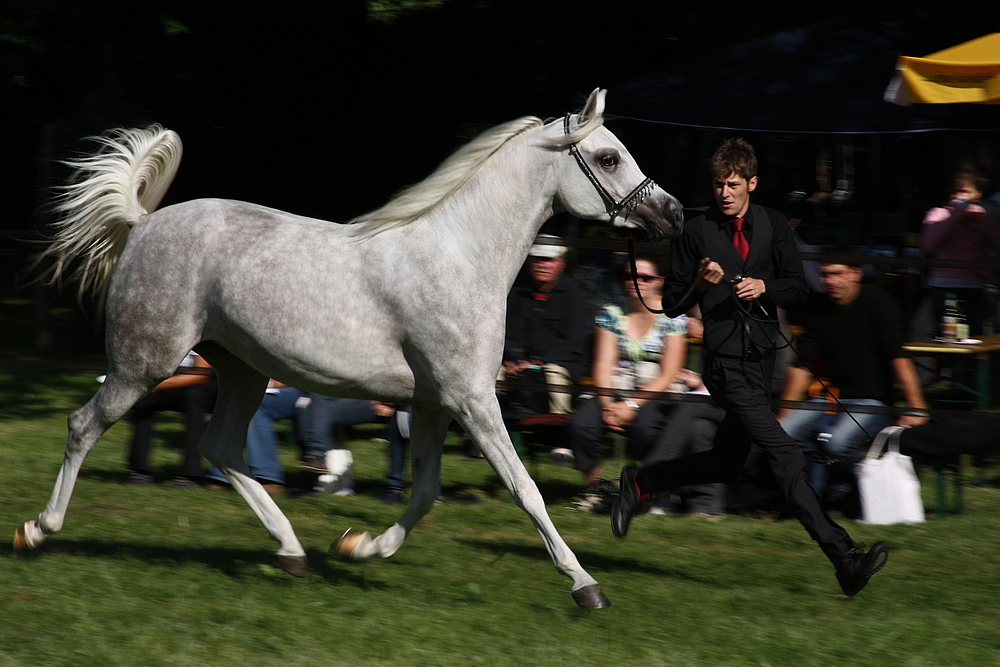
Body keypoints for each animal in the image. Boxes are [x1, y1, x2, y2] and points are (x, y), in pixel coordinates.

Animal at [15, 90, 684, 612]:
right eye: (608, 157)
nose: (673, 213)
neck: (460, 258)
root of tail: (144, 224)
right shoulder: (471, 400)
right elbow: (525, 489)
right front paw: (586, 586)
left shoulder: (436, 405)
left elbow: (425, 492)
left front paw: (358, 546)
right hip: (144, 362)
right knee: (84, 425)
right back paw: (38, 531)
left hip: (242, 371)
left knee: (221, 447)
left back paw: (292, 552)